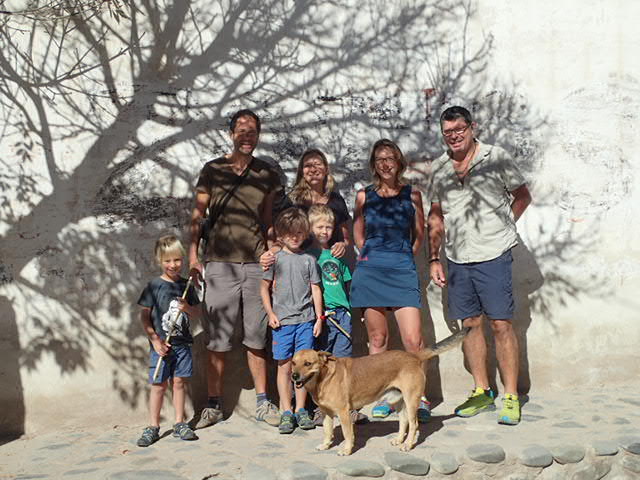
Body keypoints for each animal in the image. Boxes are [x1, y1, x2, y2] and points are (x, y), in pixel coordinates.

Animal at [291, 328, 469, 455]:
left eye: (308, 364)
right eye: (293, 363)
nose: (294, 376)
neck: (324, 377)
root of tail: (413, 356)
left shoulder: (343, 413)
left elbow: (348, 434)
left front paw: (347, 450)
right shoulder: (327, 412)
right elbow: (327, 432)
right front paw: (325, 445)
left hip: (411, 400)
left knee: (414, 424)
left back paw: (408, 444)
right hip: (398, 400)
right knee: (403, 421)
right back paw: (399, 439)